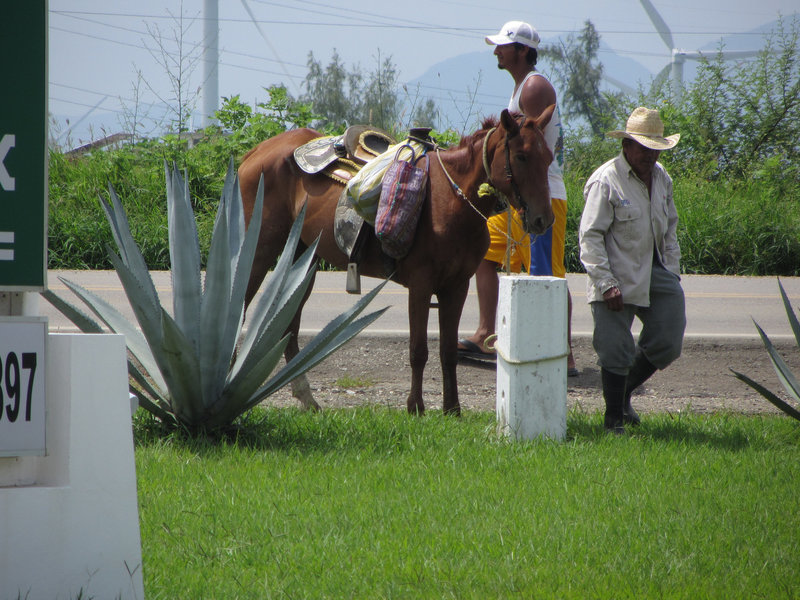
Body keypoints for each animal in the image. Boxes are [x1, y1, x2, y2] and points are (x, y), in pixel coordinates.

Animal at [234, 108, 552, 414]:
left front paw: (452, 409)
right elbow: (418, 350)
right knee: (243, 305)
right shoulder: (421, 285)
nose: (543, 219)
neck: (450, 199)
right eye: (521, 156)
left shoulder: (457, 287)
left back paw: (305, 396)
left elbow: (448, 352)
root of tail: (257, 151)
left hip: (304, 256)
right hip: (261, 247)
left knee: (290, 325)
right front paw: (416, 407)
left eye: (549, 158)